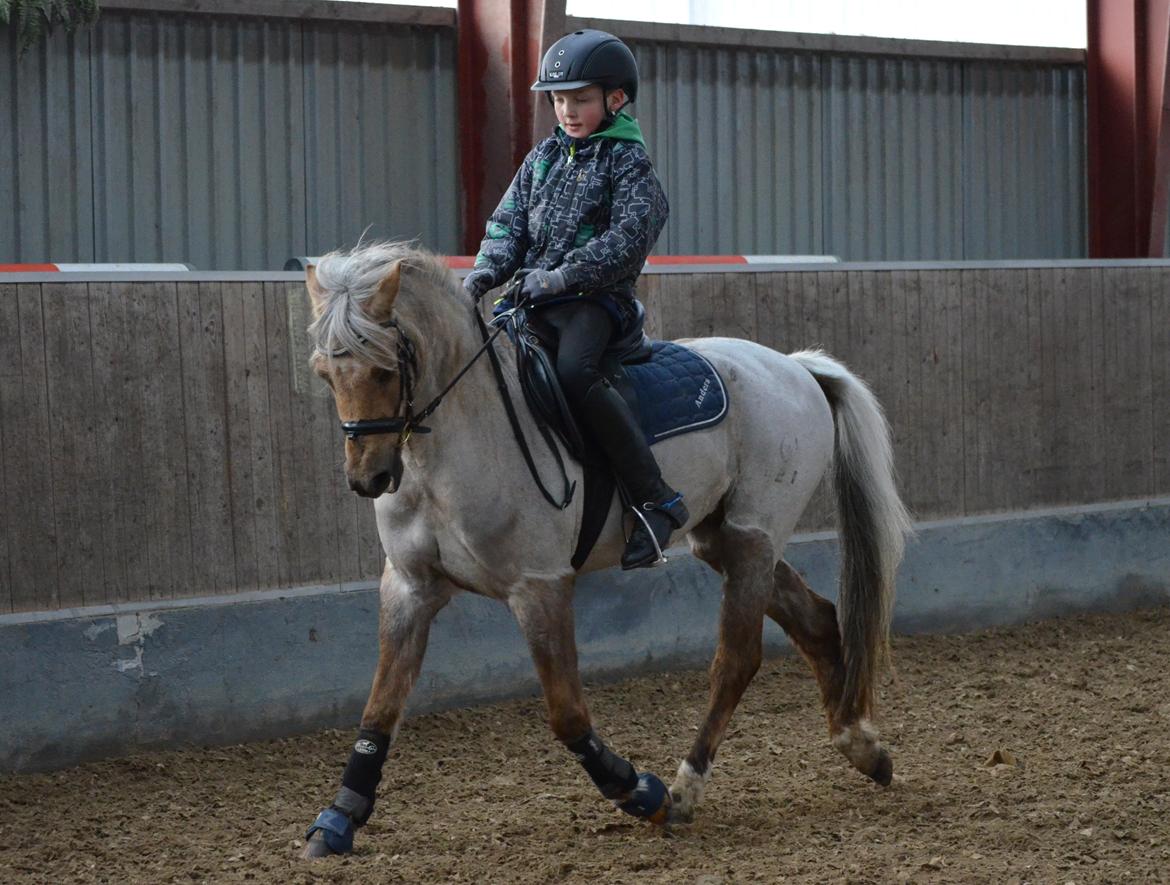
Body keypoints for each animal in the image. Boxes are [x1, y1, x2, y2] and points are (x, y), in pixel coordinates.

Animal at [299, 241, 912, 858]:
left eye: (384, 369)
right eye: (324, 374)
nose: (369, 478)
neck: (455, 445)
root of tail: (794, 366)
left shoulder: (539, 587)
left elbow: (567, 715)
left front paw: (639, 791)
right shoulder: (409, 587)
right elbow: (381, 707)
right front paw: (338, 818)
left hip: (753, 537)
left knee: (737, 660)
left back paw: (685, 791)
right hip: (720, 537)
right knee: (817, 619)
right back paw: (861, 746)